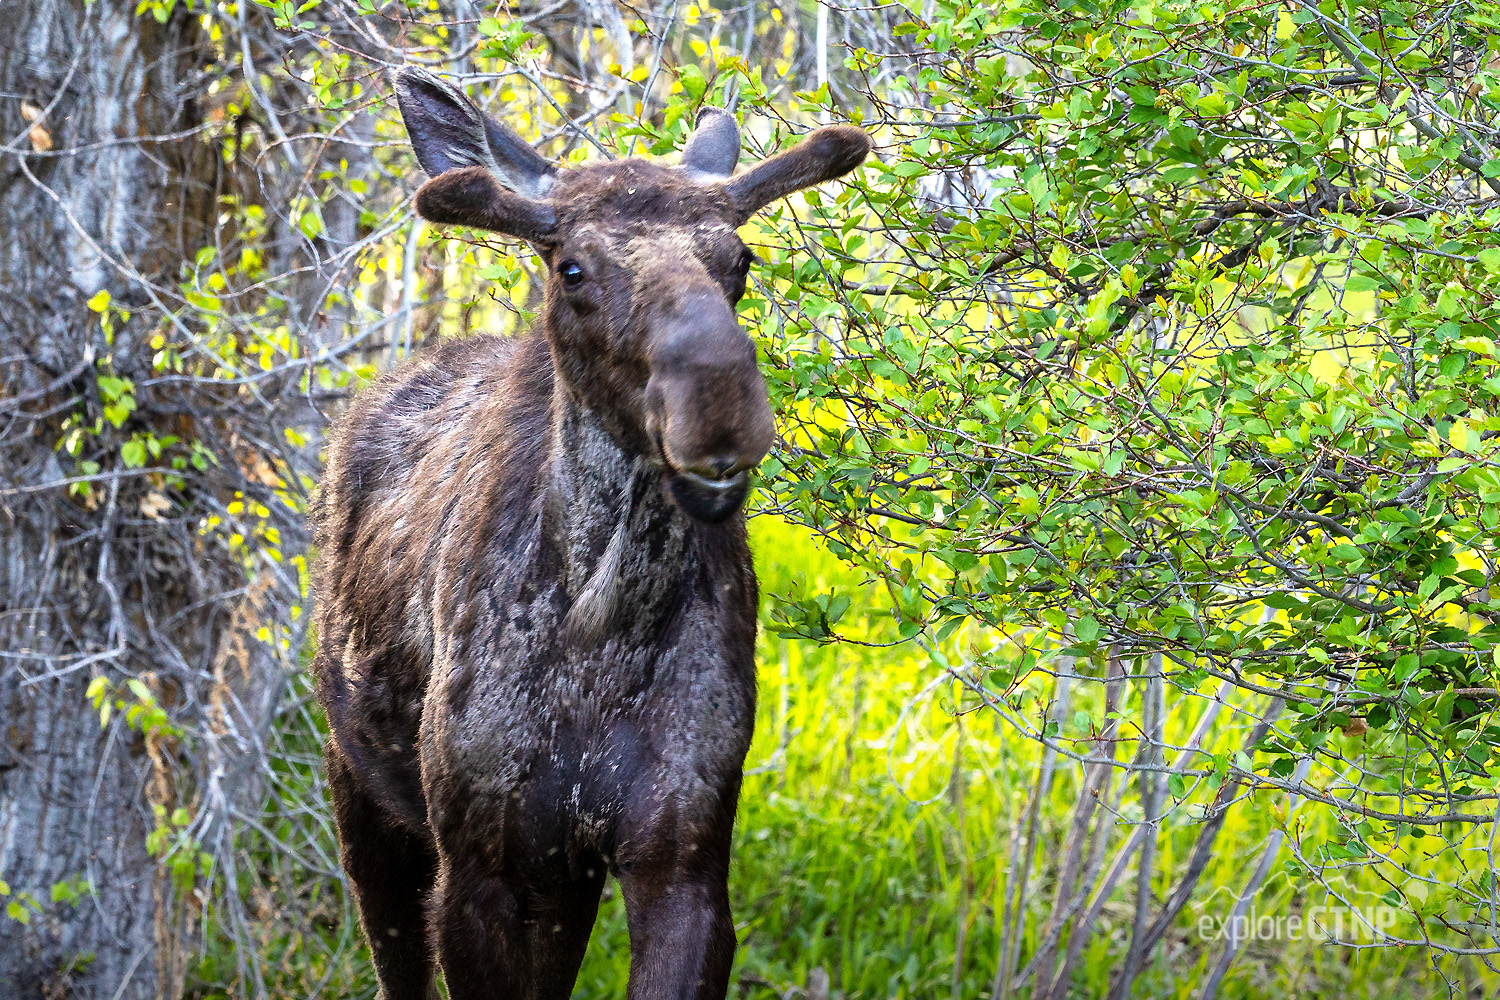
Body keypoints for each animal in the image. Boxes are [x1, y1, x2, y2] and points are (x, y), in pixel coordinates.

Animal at [310, 67, 868, 1000]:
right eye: (571, 267)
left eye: (740, 261)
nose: (720, 406)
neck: (601, 628)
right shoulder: (481, 869)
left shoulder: (680, 857)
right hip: (363, 792)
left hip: (562, 876)